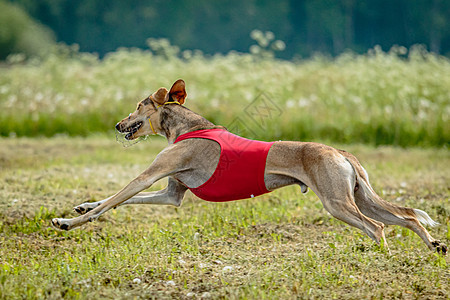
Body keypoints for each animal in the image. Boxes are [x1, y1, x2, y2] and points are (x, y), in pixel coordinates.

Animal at [51, 79, 446, 255]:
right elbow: (119, 201)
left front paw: (68, 221)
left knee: (377, 228)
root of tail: (341, 152)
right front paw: (81, 206)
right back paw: (435, 246)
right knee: (407, 217)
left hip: (338, 202)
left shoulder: (148, 176)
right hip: (360, 197)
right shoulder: (170, 192)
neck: (186, 126)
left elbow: (112, 201)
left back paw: (379, 254)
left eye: (139, 105)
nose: (118, 124)